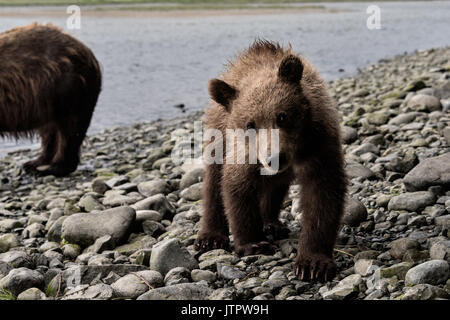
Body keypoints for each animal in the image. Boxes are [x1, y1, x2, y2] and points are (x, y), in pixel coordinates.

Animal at [0, 23, 101, 176]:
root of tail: (88, 52)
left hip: (69, 89)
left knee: (69, 129)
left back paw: (54, 167)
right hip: (46, 99)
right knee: (50, 131)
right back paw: (35, 163)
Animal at [194, 40, 348, 282]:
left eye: (282, 116)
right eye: (250, 124)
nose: (274, 157)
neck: (297, 150)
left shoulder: (319, 142)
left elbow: (322, 193)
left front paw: (313, 263)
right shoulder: (245, 152)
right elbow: (237, 188)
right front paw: (253, 243)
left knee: (274, 187)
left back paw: (271, 224)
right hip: (218, 134)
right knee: (213, 181)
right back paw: (210, 237)